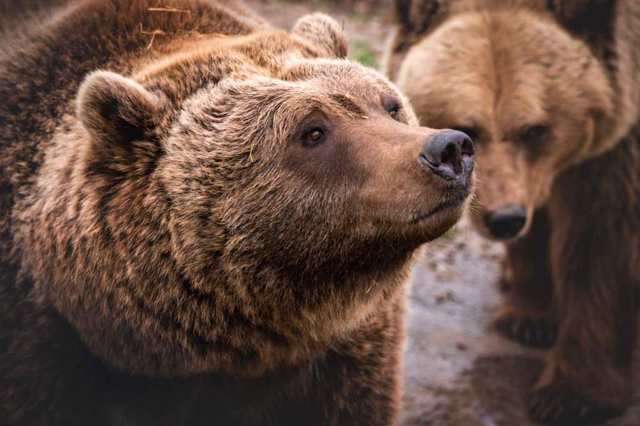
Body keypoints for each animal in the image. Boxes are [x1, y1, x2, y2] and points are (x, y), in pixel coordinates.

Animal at [384, 0, 640, 424]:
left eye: (535, 129)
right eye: (466, 128)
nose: (504, 219)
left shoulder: (615, 153)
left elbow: (602, 242)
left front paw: (569, 395)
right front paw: (529, 317)